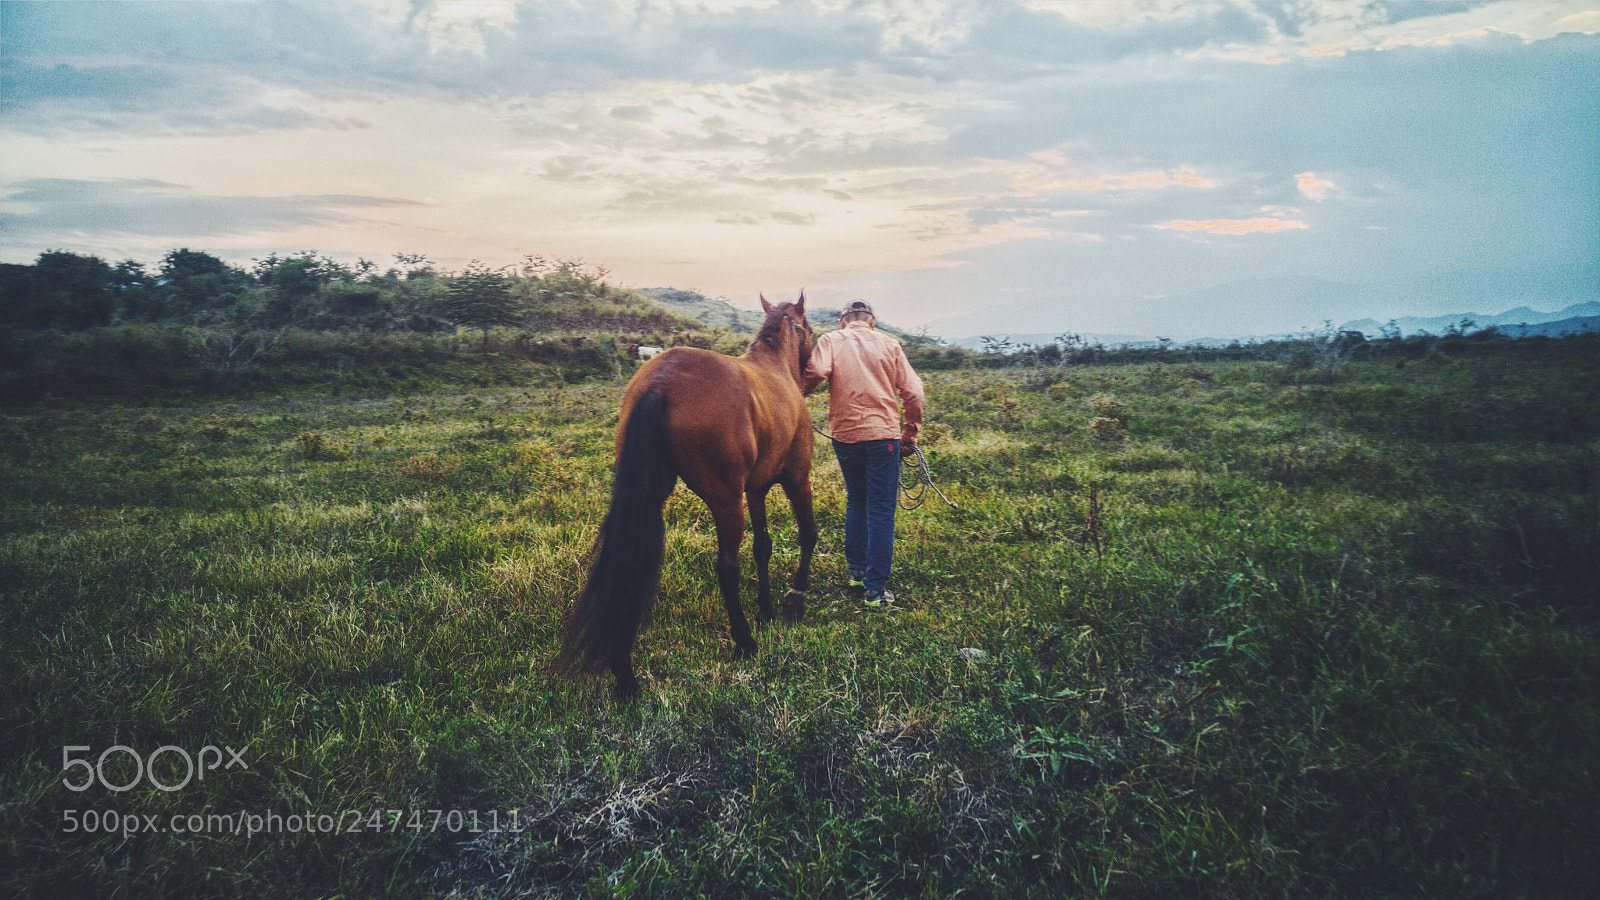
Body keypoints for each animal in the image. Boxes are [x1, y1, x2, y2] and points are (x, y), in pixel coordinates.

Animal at [559, 293, 817, 698]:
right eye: (807, 328)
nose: (812, 374)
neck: (774, 367)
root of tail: (660, 381)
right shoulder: (796, 477)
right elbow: (807, 534)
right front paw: (794, 597)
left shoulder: (756, 488)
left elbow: (763, 545)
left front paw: (767, 609)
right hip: (726, 499)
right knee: (727, 565)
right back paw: (743, 641)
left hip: (649, 495)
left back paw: (624, 672)